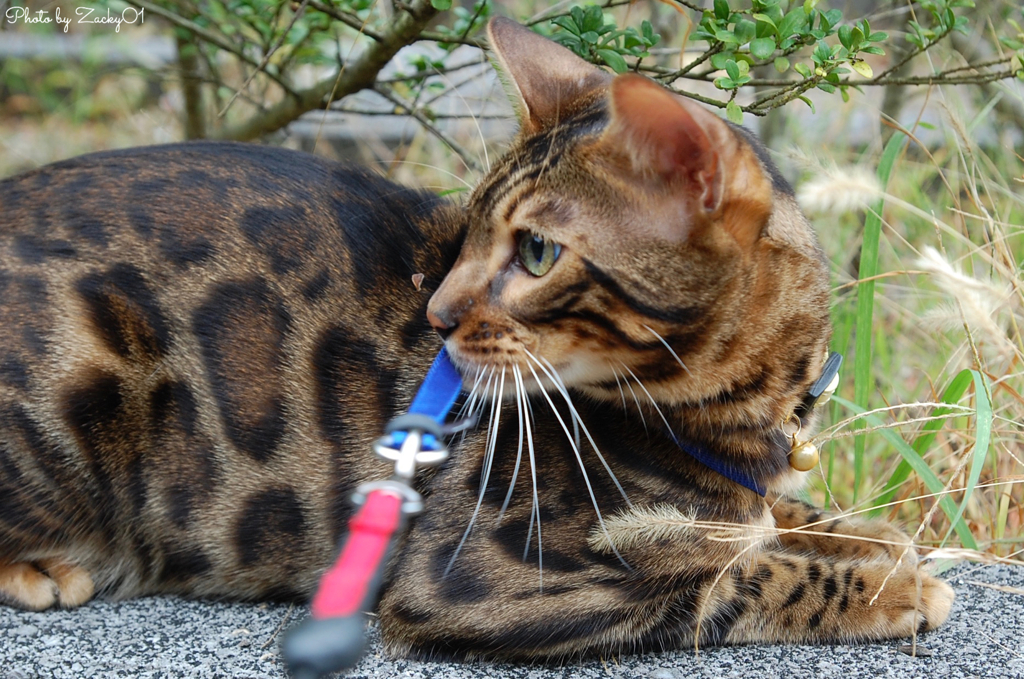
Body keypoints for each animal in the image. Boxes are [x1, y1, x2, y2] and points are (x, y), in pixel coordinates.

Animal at [4, 18, 954, 659]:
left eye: (534, 251)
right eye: (468, 234)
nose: (435, 314)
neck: (739, 420)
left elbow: (787, 522)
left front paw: (877, 541)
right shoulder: (485, 574)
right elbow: (736, 575)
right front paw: (897, 582)